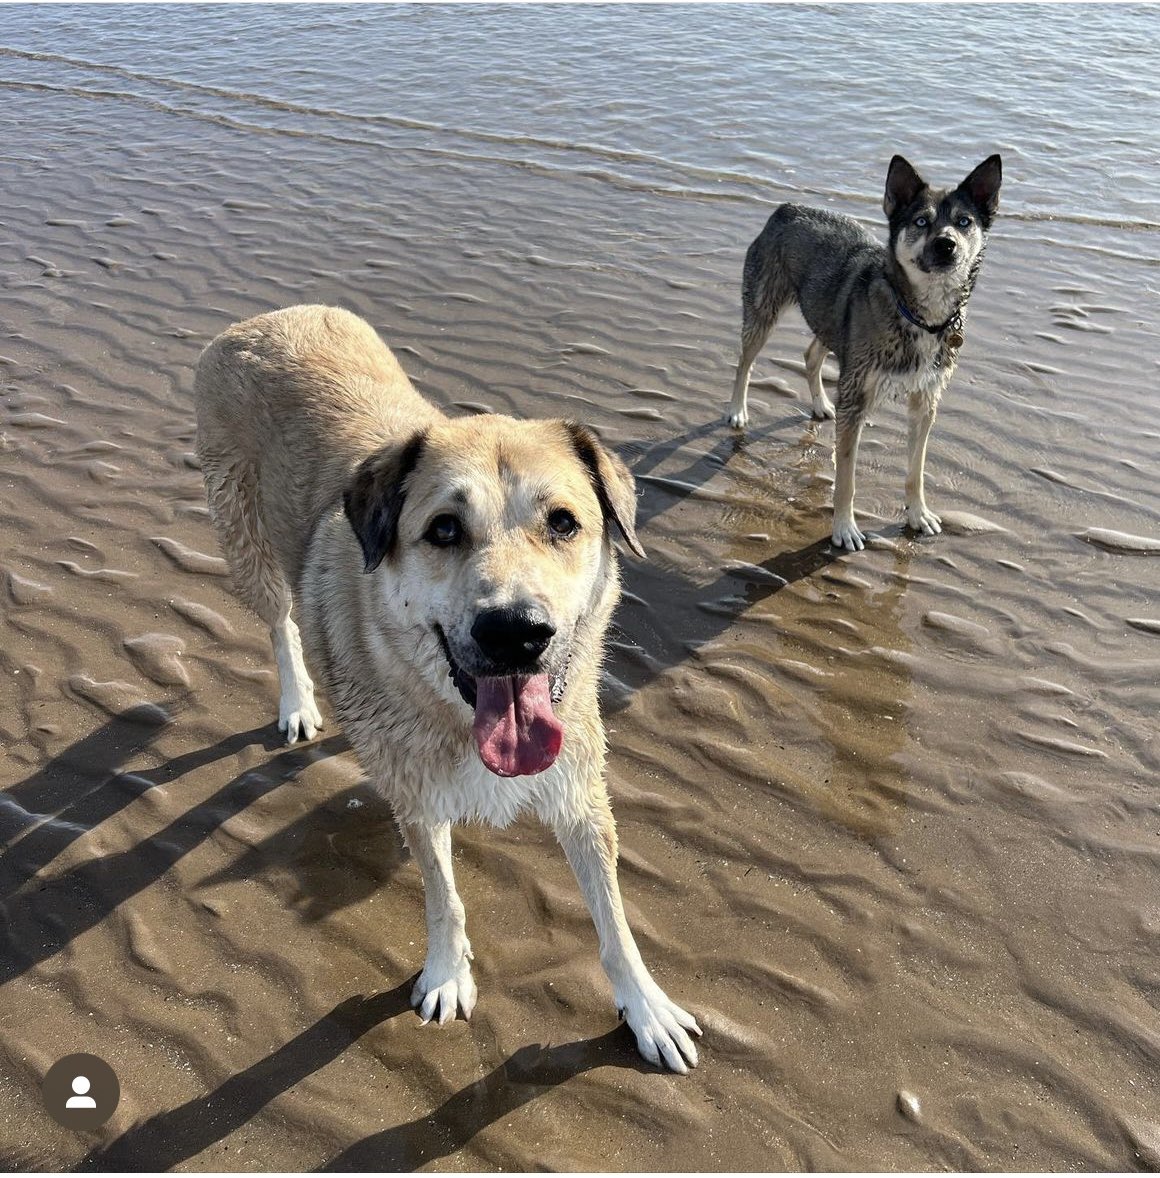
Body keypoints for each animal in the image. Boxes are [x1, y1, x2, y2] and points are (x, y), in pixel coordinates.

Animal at [193, 308, 697, 1074]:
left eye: (563, 522)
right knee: (281, 620)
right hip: (243, 535)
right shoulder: (420, 799)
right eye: (444, 529)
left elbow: (613, 916)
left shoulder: (578, 788)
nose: (516, 633)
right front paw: (447, 974)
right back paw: (299, 700)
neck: (456, 715)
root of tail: (262, 320)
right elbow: (444, 897)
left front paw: (646, 1008)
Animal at [730, 153, 998, 551]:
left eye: (964, 222)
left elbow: (916, 470)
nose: (946, 244)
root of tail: (786, 209)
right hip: (764, 309)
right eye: (921, 221)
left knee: (811, 354)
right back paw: (737, 410)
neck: (920, 316)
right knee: (744, 362)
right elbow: (846, 479)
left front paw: (918, 514)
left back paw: (821, 404)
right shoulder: (856, 398)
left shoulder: (925, 400)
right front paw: (844, 528)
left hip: (833, 323)